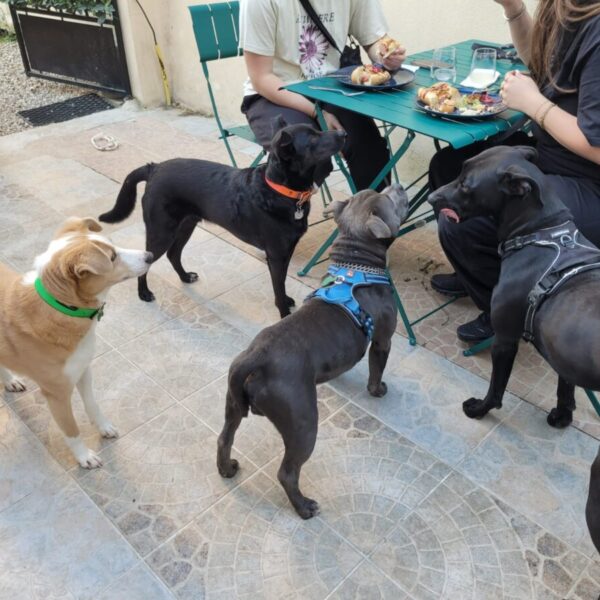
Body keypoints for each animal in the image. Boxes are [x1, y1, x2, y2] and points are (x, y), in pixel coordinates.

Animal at [0, 217, 152, 468]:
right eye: (112, 257)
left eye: (113, 245)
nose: (150, 255)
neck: (61, 305)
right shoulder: (56, 395)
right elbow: (71, 430)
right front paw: (84, 457)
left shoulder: (83, 369)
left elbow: (92, 403)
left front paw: (103, 427)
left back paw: (10, 380)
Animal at [97, 121, 342, 318]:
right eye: (313, 138)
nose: (343, 133)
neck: (280, 190)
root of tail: (154, 167)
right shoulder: (276, 255)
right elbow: (278, 287)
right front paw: (283, 313)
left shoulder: (286, 251)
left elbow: (281, 284)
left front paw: (287, 301)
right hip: (161, 231)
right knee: (150, 259)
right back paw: (144, 293)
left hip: (186, 225)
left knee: (174, 254)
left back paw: (185, 277)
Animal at [218, 185, 410, 516]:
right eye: (389, 197)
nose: (398, 186)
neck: (355, 263)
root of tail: (257, 356)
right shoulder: (383, 338)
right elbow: (377, 368)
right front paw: (378, 390)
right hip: (304, 422)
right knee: (287, 472)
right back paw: (304, 507)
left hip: (233, 403)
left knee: (224, 439)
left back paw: (227, 468)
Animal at [428, 145, 600, 426]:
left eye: (465, 185)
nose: (431, 197)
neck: (540, 232)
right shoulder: (563, 351)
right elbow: (565, 387)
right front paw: (563, 416)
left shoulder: (505, 339)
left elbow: (496, 389)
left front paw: (479, 409)